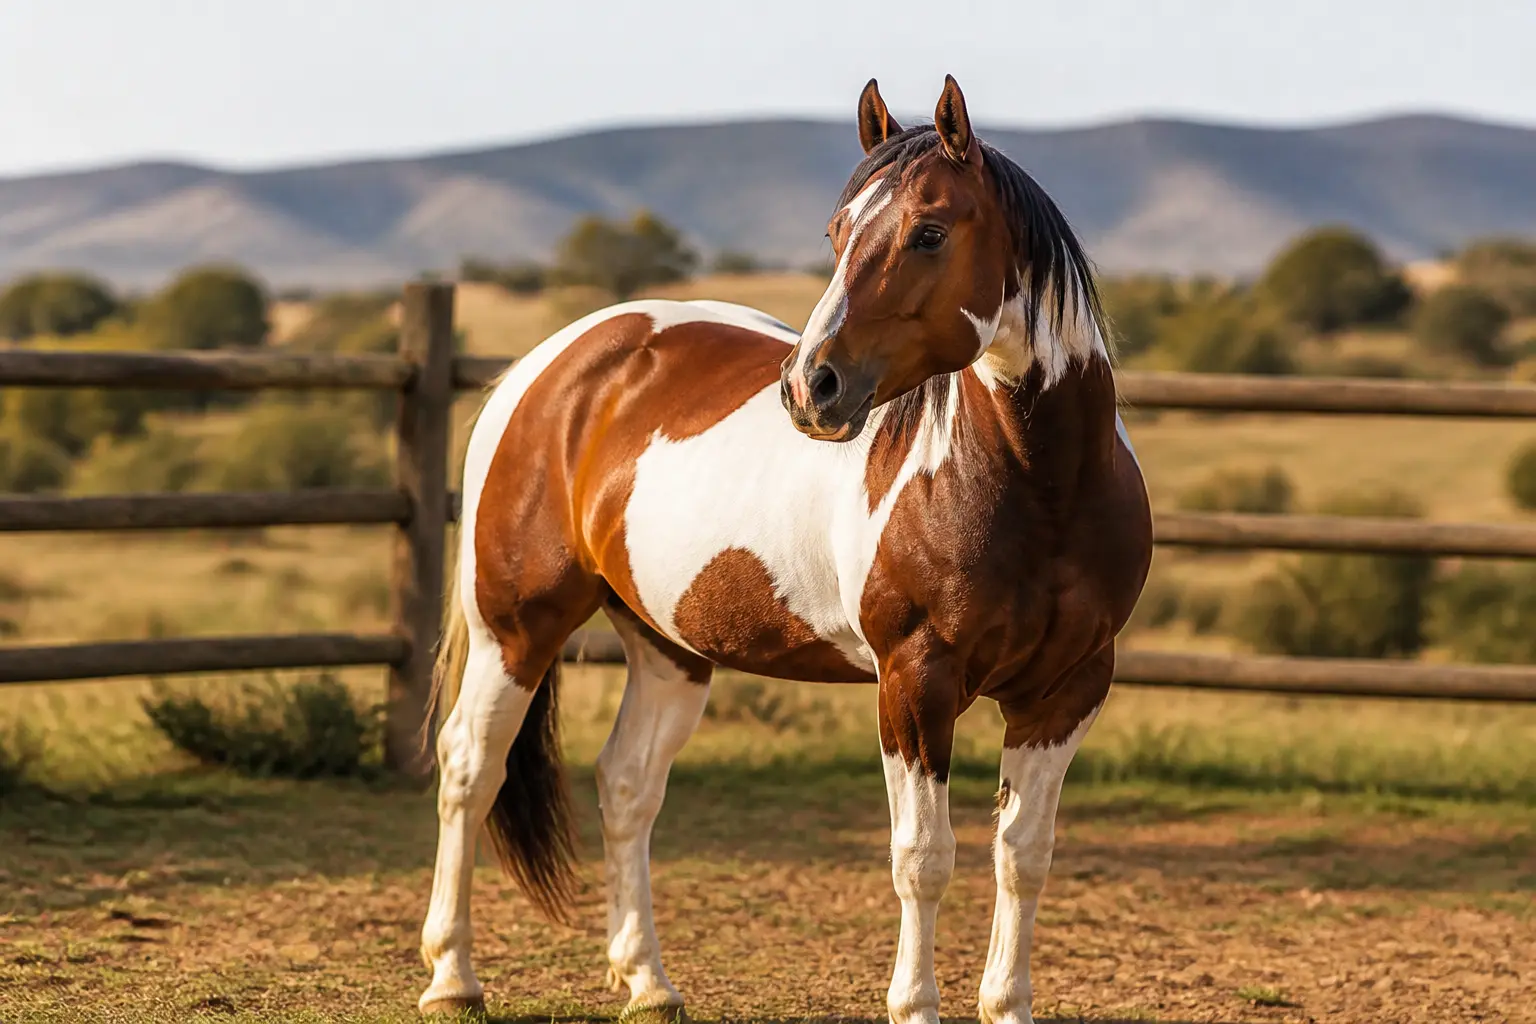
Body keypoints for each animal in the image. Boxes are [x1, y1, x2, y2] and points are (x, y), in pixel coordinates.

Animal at [418, 75, 1153, 1024]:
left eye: (929, 231)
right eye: (838, 233)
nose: (811, 388)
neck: (1044, 487)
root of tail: (555, 363)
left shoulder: (1065, 691)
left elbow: (1023, 855)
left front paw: (1008, 1003)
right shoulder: (915, 683)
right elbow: (924, 858)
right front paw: (915, 1003)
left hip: (667, 647)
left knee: (627, 787)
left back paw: (647, 981)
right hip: (514, 628)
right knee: (471, 769)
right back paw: (452, 975)